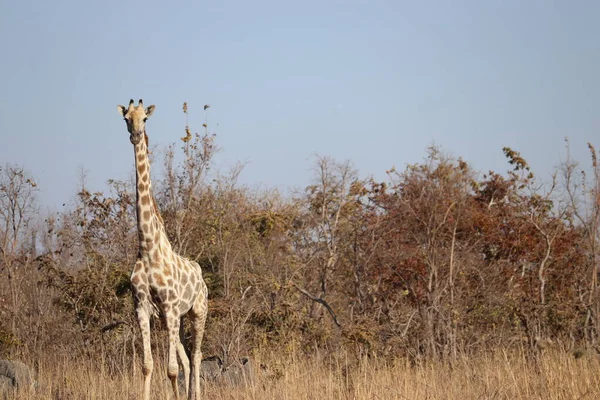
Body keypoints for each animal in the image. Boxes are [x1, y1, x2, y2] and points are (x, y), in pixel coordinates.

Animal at [118, 97, 210, 400]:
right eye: (126, 118)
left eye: (145, 118)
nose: (136, 136)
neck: (147, 247)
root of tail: (201, 275)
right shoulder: (142, 308)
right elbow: (148, 366)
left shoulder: (169, 307)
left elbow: (171, 370)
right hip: (176, 319)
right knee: (187, 358)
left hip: (197, 311)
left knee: (196, 355)